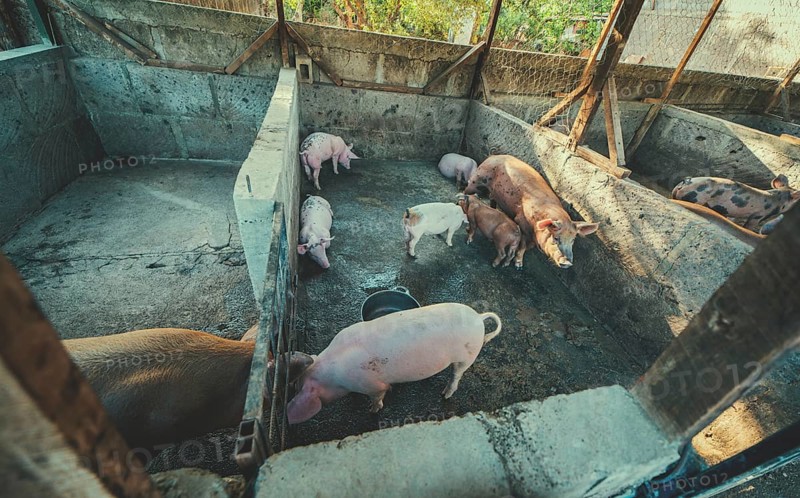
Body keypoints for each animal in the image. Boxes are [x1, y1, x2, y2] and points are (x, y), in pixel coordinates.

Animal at [286, 303, 502, 424]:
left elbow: (379, 396)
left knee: (457, 375)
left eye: (299, 387)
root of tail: (479, 317)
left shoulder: (373, 385)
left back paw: (445, 394)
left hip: (467, 356)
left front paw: (372, 410)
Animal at [464, 155, 598, 269]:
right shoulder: (522, 222)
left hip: (494, 192)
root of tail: (493, 156)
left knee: (492, 199)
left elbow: (528, 247)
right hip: (477, 179)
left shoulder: (535, 238)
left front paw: (519, 264)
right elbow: (523, 245)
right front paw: (518, 266)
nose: (567, 263)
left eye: (573, 240)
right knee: (467, 190)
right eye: (556, 238)